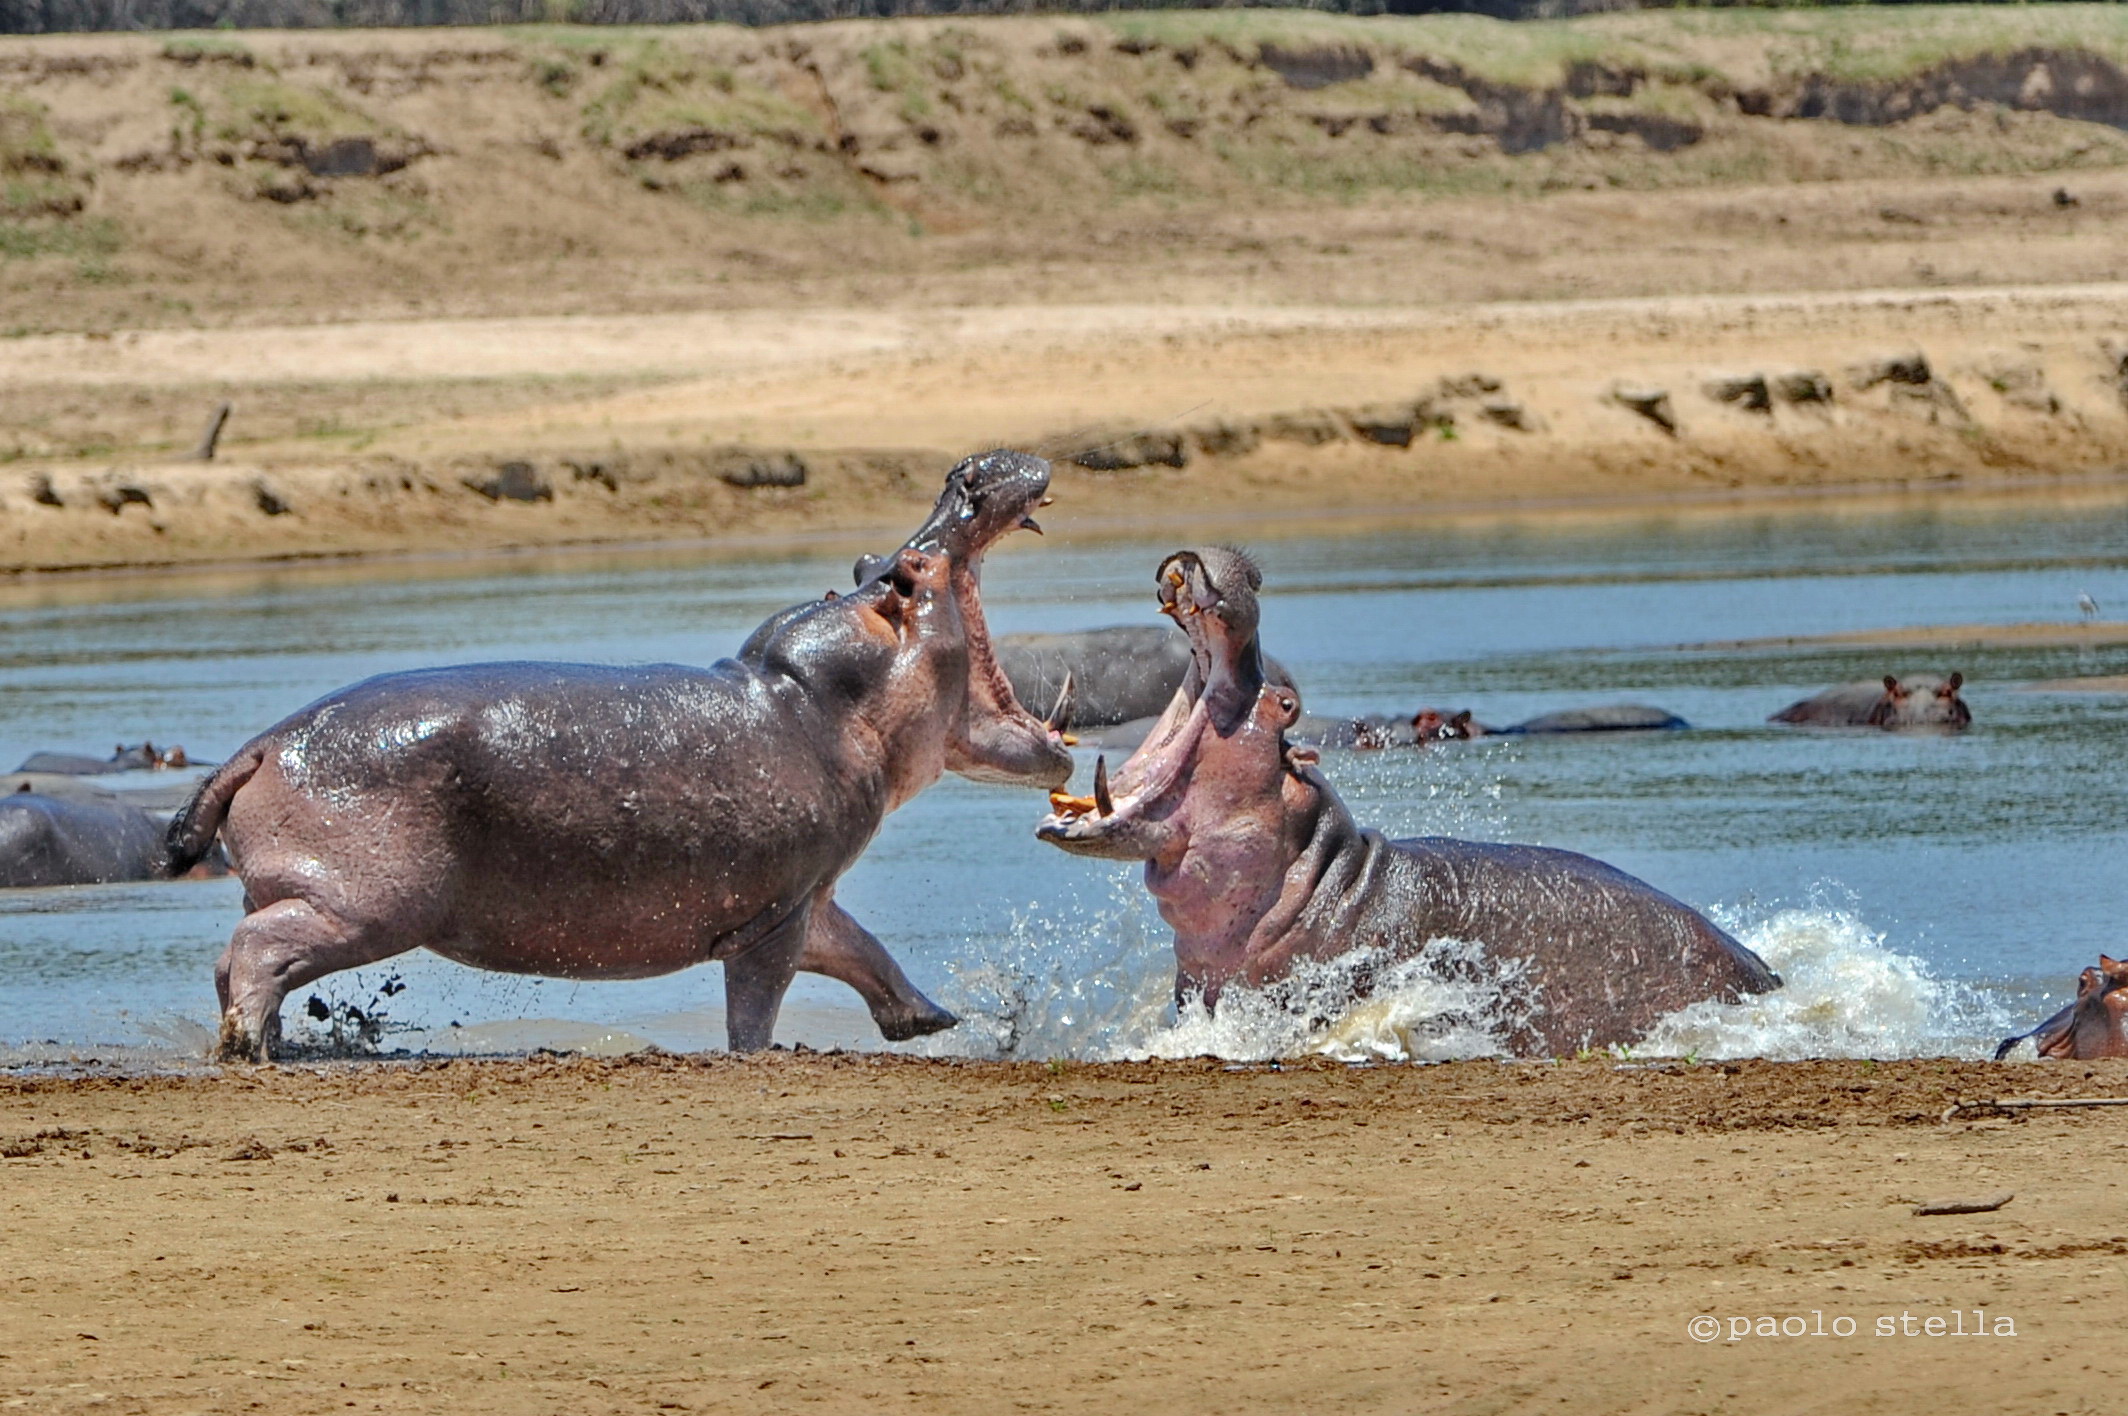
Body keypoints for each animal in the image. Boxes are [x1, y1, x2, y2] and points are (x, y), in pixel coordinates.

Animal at [167, 451, 1074, 1062]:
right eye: (911, 571)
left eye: (869, 564)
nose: (969, 471)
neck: (816, 697)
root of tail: (262, 745)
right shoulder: (775, 916)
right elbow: (762, 1002)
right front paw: (759, 1054)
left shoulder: (805, 895)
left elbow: (862, 947)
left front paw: (933, 1020)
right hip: (362, 904)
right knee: (252, 952)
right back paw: (248, 1045)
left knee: (240, 958)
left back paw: (264, 1045)